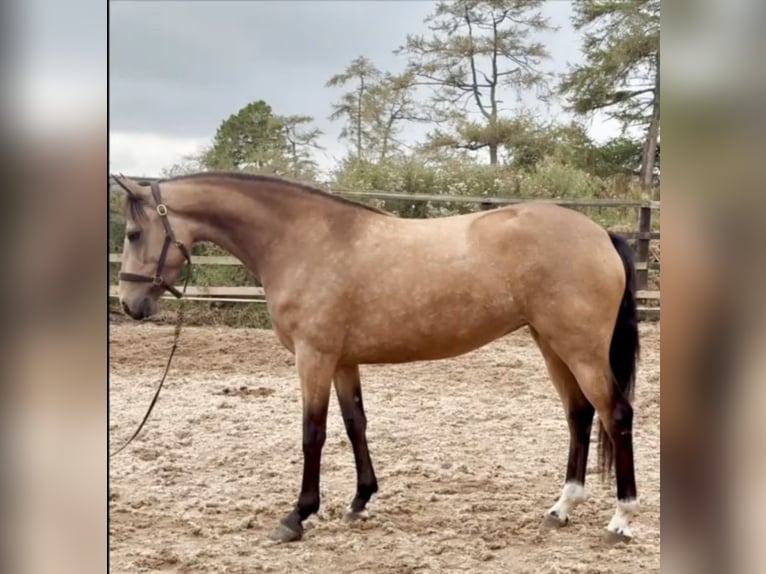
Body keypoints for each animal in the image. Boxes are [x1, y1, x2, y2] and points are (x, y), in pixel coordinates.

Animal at [111, 171, 640, 544]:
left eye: (133, 233)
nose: (129, 304)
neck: (304, 240)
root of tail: (601, 234)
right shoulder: (343, 361)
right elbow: (355, 424)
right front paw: (361, 500)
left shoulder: (314, 357)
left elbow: (313, 433)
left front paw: (297, 515)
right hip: (552, 344)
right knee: (579, 415)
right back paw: (562, 508)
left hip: (579, 348)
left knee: (616, 414)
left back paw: (621, 518)